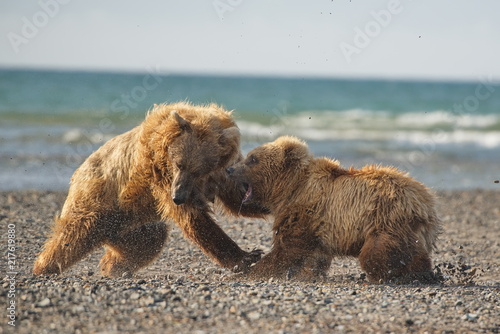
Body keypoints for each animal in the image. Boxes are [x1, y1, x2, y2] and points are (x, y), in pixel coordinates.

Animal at [32, 101, 266, 276]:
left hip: (131, 221)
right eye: (179, 164)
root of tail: (78, 171)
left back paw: (115, 267)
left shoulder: (222, 172)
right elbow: (193, 219)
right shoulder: (159, 171)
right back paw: (44, 267)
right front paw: (247, 257)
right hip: (98, 196)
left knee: (148, 243)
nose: (178, 197)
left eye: (198, 170)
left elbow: (237, 197)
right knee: (74, 233)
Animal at [228, 136, 442, 282]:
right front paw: (308, 274)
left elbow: (287, 249)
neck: (291, 188)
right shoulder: (318, 224)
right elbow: (314, 255)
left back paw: (396, 274)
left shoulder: (304, 211)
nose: (230, 169)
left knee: (376, 253)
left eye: (252, 159)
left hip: (387, 217)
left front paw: (252, 271)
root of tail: (427, 203)